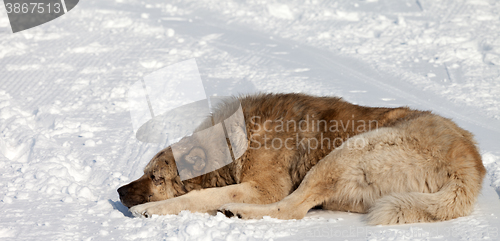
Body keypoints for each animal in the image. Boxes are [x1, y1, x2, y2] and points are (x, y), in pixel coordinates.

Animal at [117, 92, 484, 224]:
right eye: (144, 172)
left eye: (155, 178)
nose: (119, 191)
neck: (233, 143)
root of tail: (469, 167)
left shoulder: (264, 189)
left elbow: (198, 196)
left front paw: (152, 210)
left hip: (348, 153)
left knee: (293, 209)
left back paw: (237, 212)